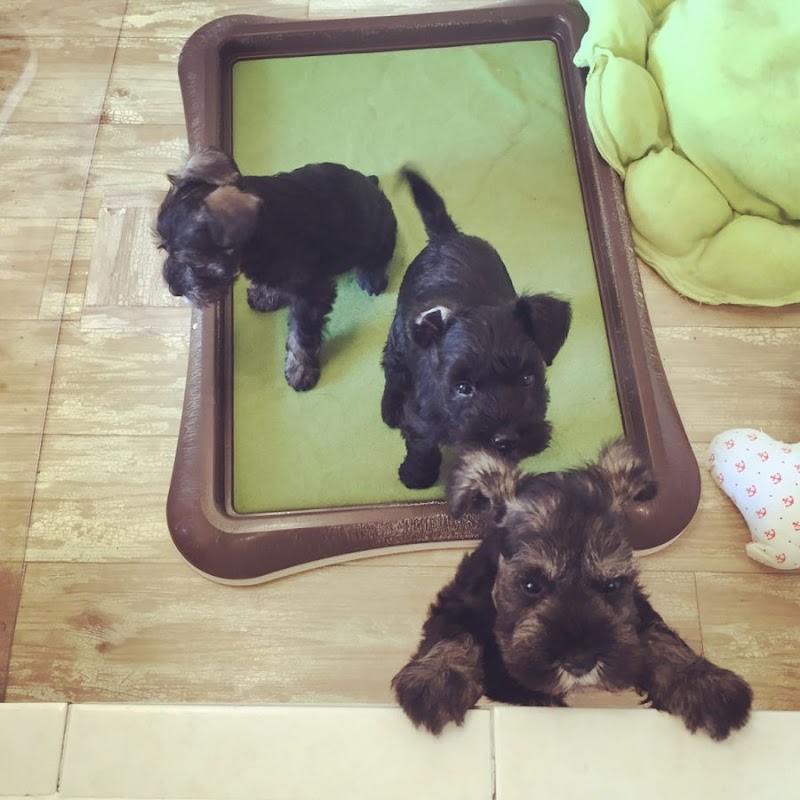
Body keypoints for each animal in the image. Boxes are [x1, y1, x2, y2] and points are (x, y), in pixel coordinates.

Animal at [156, 147, 397, 391]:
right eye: (164, 248)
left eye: (194, 261)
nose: (174, 290)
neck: (261, 233)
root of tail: (374, 185)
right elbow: (272, 283)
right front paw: (265, 296)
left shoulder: (310, 294)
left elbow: (301, 334)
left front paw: (300, 370)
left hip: (382, 231)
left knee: (381, 255)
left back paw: (372, 276)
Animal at [380, 168, 572, 488]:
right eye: (463, 388)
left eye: (528, 378)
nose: (505, 439)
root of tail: (447, 236)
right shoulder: (421, 421)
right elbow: (423, 445)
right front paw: (417, 475)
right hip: (398, 338)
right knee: (392, 369)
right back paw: (390, 407)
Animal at [391, 440, 753, 740]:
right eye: (530, 585)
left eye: (611, 585)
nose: (580, 662)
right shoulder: (458, 601)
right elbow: (455, 634)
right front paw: (436, 682)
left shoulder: (633, 613)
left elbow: (658, 637)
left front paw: (706, 684)